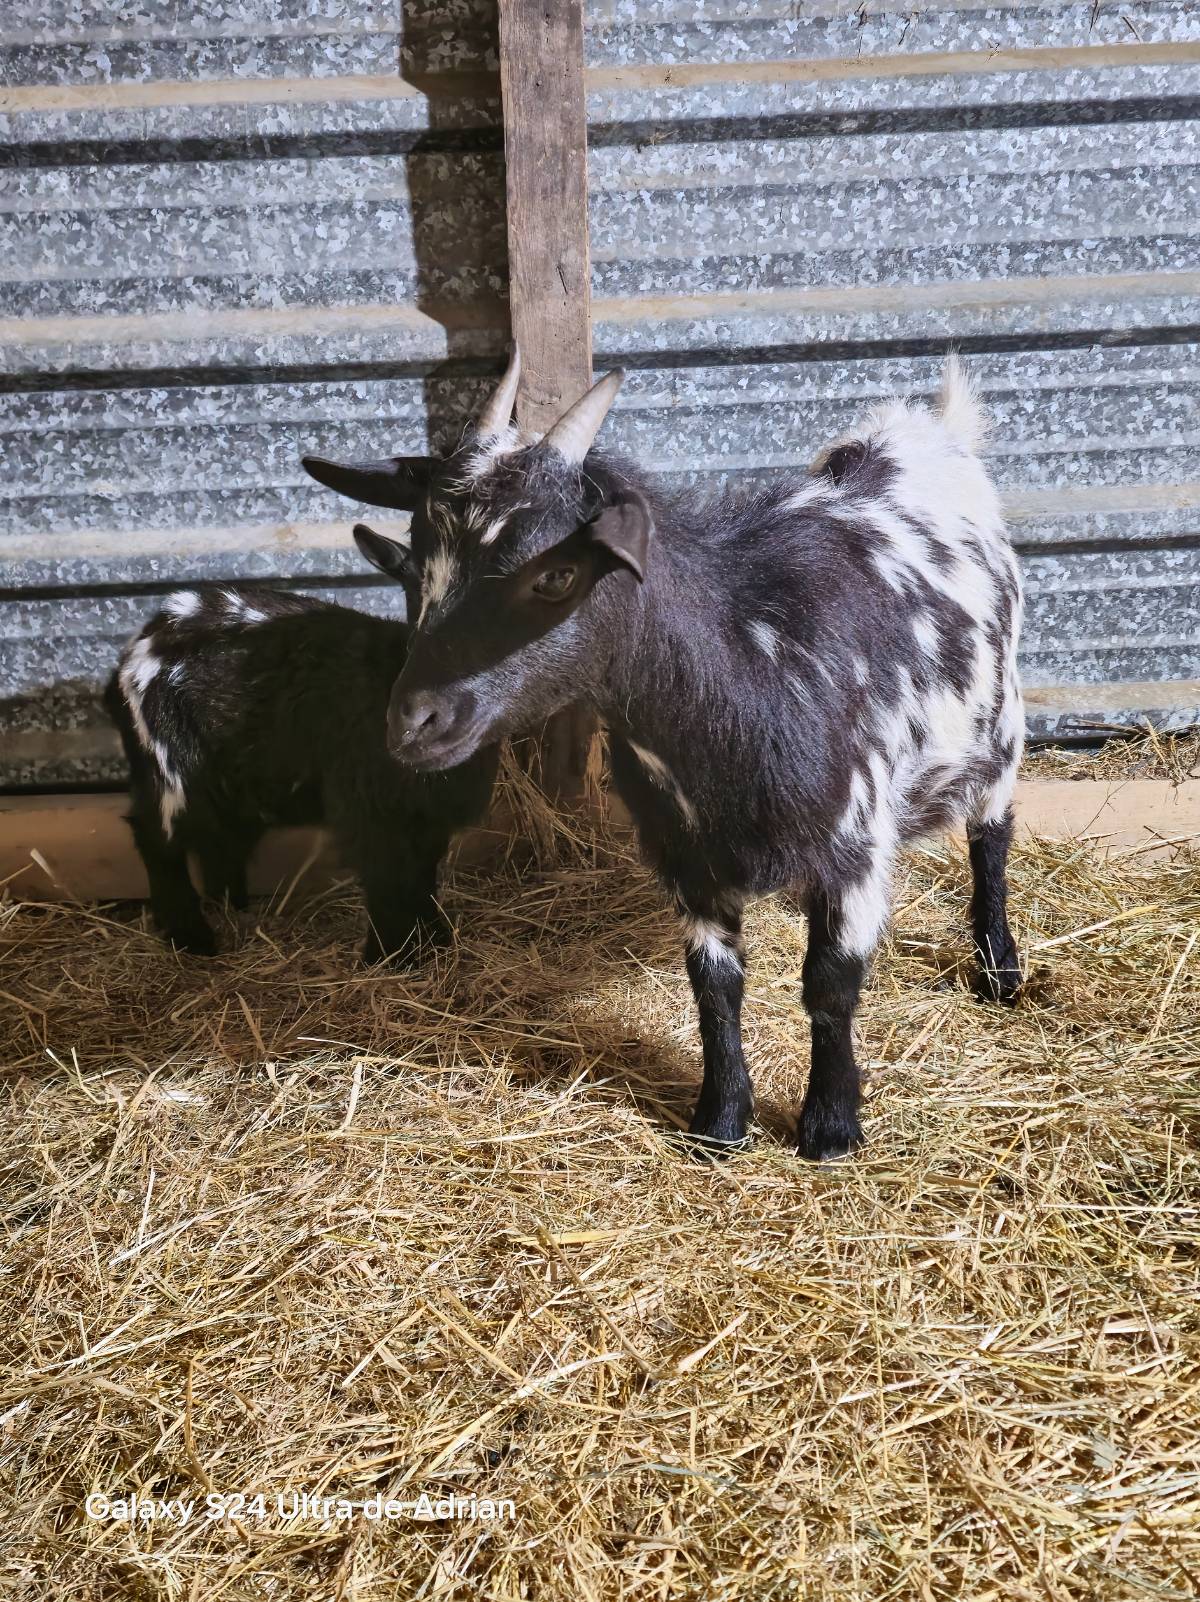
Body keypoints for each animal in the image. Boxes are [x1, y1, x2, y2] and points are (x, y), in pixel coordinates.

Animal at [104, 576, 498, 962]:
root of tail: (134, 652)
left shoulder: (427, 818)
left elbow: (420, 875)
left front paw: (432, 941)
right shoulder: (369, 808)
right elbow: (388, 877)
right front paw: (391, 954)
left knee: (219, 838)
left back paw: (232, 906)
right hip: (170, 769)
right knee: (158, 840)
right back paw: (190, 936)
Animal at [302, 348, 1023, 1158]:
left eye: (557, 574)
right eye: (410, 568)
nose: (414, 722)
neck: (756, 667)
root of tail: (924, 430)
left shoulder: (856, 848)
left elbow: (831, 984)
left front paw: (831, 1126)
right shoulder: (684, 855)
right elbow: (714, 984)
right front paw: (719, 1122)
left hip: (999, 722)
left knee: (992, 831)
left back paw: (1000, 967)